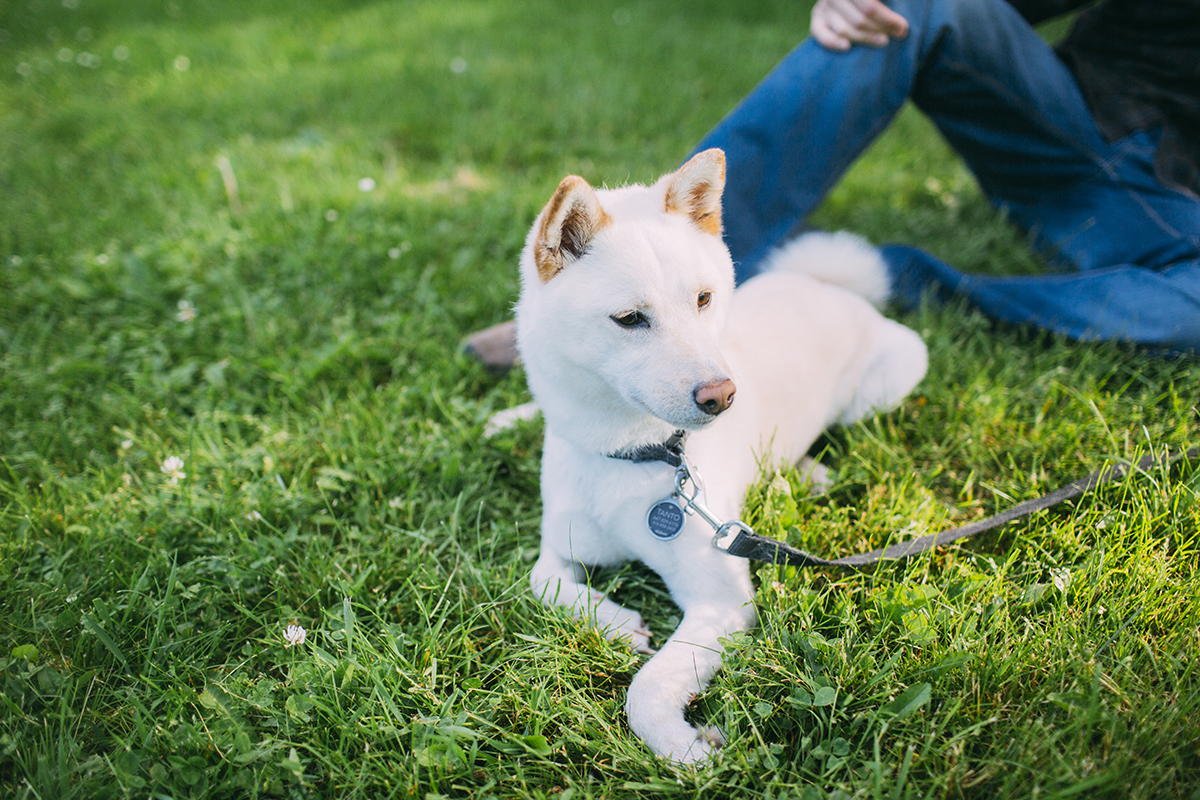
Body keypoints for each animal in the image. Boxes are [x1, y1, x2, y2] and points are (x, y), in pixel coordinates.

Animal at [516, 149, 926, 762]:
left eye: (704, 299)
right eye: (630, 319)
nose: (723, 396)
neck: (635, 456)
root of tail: (821, 282)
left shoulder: (720, 601)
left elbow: (645, 689)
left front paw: (685, 750)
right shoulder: (558, 550)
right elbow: (543, 581)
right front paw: (616, 622)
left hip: (884, 386)